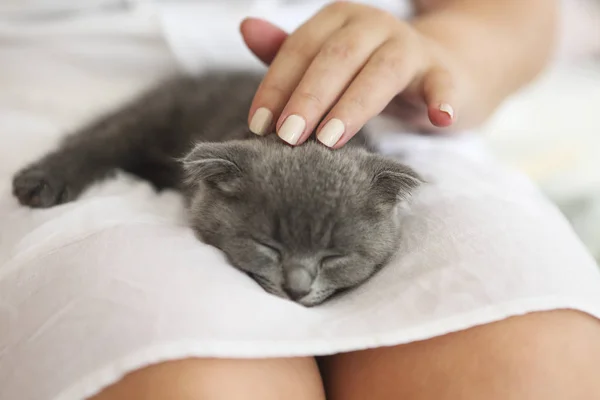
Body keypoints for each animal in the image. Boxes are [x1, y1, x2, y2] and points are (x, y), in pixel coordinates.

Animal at [10, 71, 422, 306]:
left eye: (334, 256)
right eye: (267, 246)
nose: (297, 289)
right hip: (157, 112)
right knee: (101, 136)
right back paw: (41, 181)